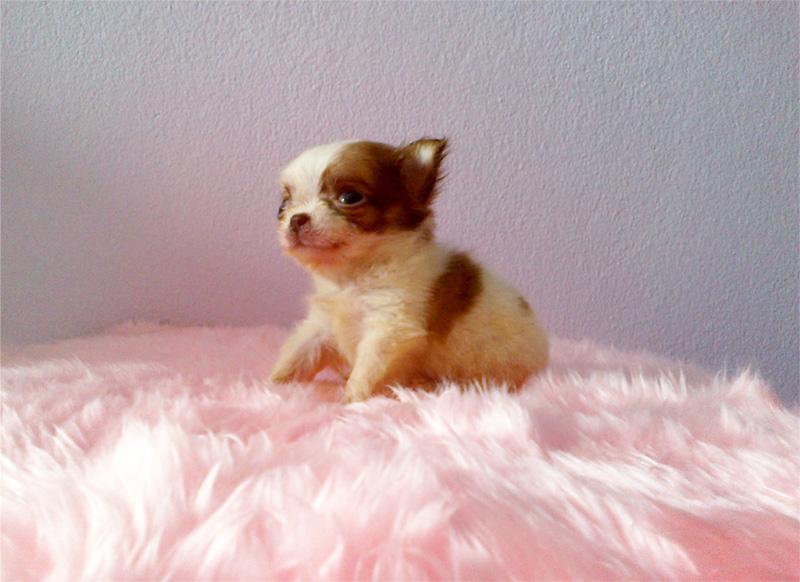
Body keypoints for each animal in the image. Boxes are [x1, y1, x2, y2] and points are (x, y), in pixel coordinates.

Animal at [269, 138, 548, 402]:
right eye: (283, 206)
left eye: (349, 197)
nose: (296, 219)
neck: (352, 276)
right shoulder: (322, 324)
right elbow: (299, 352)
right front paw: (272, 384)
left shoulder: (390, 328)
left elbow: (366, 372)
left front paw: (350, 402)